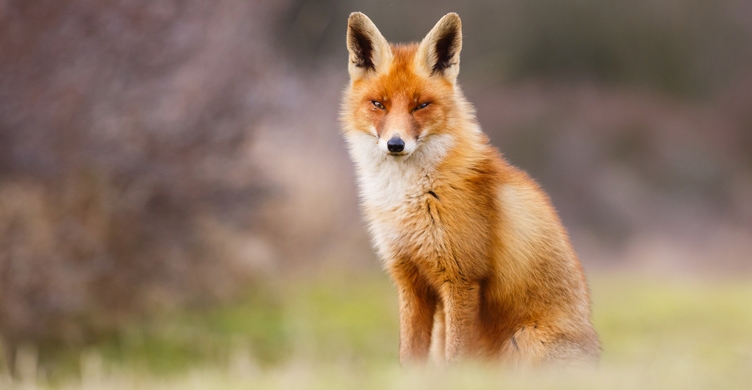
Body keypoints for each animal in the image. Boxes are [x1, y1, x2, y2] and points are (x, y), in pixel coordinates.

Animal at [340, 12, 600, 366]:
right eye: (378, 104)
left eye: (421, 106)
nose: (395, 144)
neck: (410, 197)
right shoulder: (409, 281)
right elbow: (409, 357)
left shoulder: (461, 279)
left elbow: (456, 358)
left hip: (525, 341)